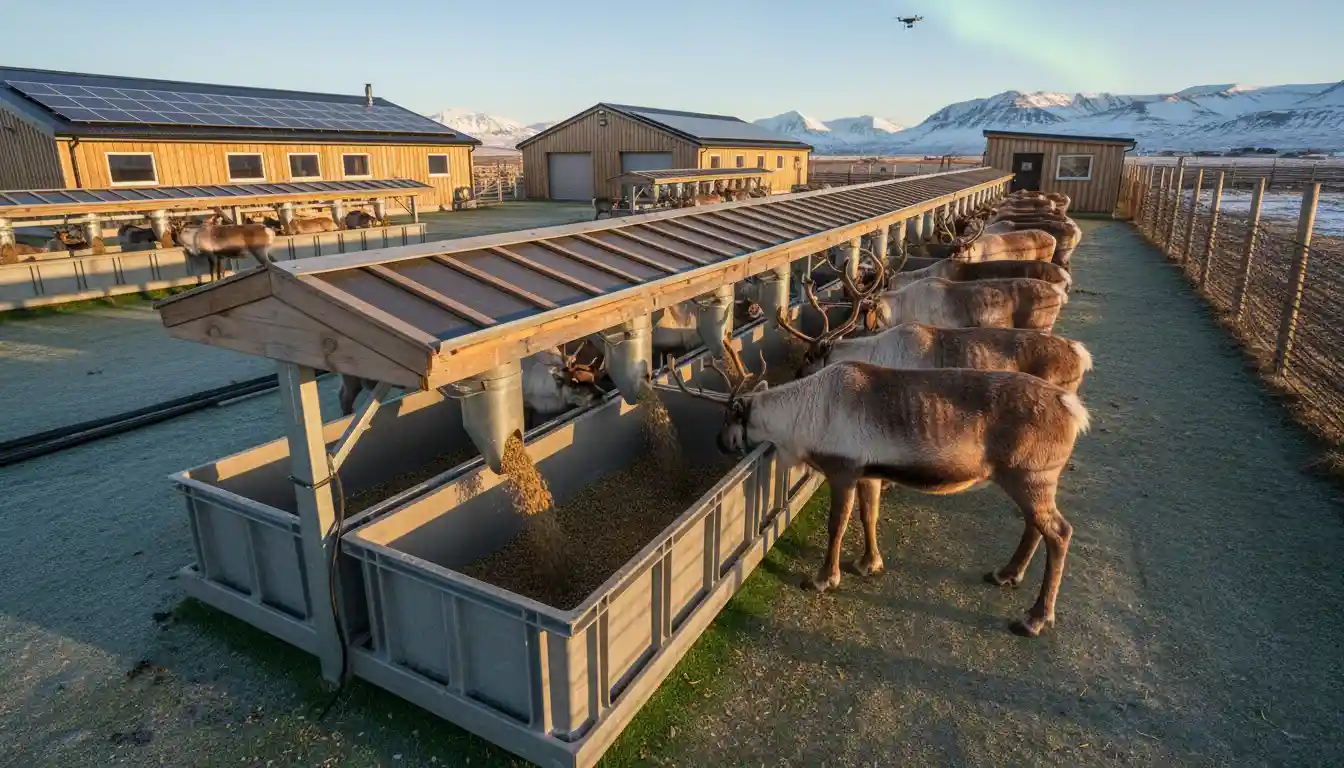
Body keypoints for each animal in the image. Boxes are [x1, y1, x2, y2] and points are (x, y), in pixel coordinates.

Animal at [667, 340, 1091, 637]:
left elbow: (837, 525)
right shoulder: (869, 472)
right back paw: (1007, 574)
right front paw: (869, 564)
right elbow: (868, 514)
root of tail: (1073, 408)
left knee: (1059, 532)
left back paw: (1035, 618)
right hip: (1031, 482)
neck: (804, 412)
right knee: (1035, 527)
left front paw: (824, 578)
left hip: (1030, 478)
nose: (720, 443)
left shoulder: (842, 470)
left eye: (729, 415)